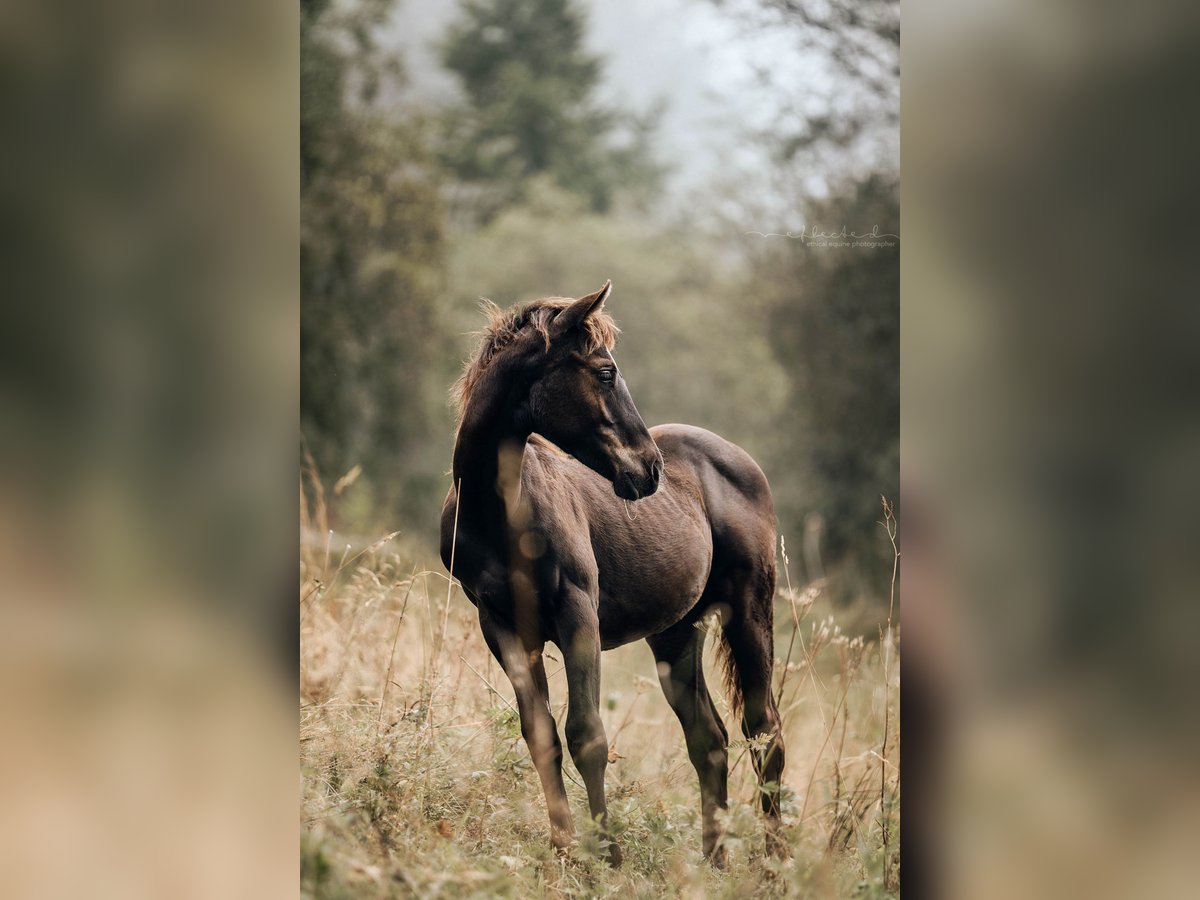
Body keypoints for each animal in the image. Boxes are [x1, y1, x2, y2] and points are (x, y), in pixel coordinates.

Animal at [441, 282, 787, 868]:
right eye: (605, 372)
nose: (649, 470)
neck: (500, 512)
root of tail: (741, 461)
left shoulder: (578, 612)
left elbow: (587, 735)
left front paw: (607, 857)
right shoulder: (501, 625)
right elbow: (541, 736)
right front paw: (565, 854)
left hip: (749, 611)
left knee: (765, 733)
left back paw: (775, 865)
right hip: (676, 634)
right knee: (710, 740)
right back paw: (715, 864)